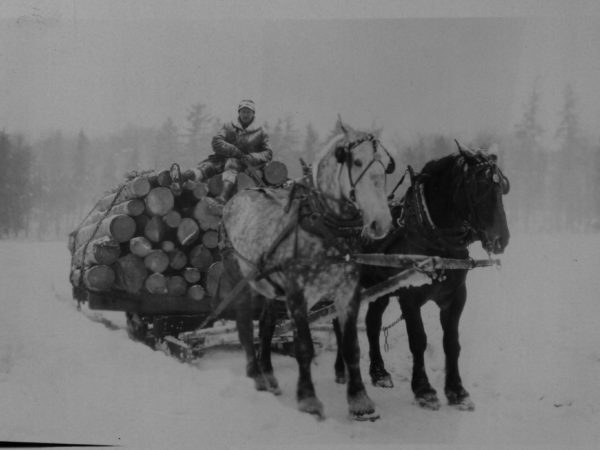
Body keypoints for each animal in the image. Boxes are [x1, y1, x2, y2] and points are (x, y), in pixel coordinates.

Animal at [218, 121, 396, 420]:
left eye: (385, 165)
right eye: (356, 162)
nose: (380, 223)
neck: (323, 224)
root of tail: (237, 197)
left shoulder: (348, 291)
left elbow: (352, 347)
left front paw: (360, 401)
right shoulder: (297, 294)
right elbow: (304, 347)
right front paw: (308, 399)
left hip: (269, 287)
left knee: (265, 325)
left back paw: (269, 374)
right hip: (240, 279)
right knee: (244, 326)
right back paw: (256, 375)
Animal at [332, 141, 510, 412]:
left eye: (502, 187)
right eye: (477, 186)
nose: (501, 240)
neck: (435, 241)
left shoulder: (456, 296)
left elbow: (452, 342)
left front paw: (457, 390)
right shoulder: (409, 296)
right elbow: (418, 340)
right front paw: (424, 390)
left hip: (380, 289)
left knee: (372, 323)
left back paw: (379, 372)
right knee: (337, 322)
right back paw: (341, 369)